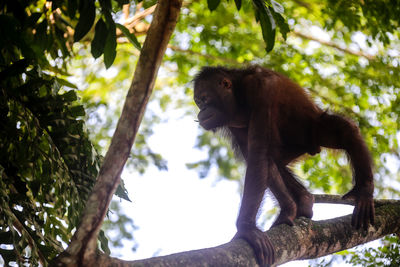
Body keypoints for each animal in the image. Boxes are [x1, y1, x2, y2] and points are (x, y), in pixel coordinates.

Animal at [192, 65, 374, 266]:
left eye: (205, 98)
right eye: (199, 102)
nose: (202, 110)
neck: (238, 95)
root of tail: (309, 147)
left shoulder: (260, 90)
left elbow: (257, 154)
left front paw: (246, 229)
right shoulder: (233, 124)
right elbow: (258, 156)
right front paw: (284, 213)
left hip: (313, 128)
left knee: (345, 130)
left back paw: (364, 191)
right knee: (272, 159)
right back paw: (301, 203)